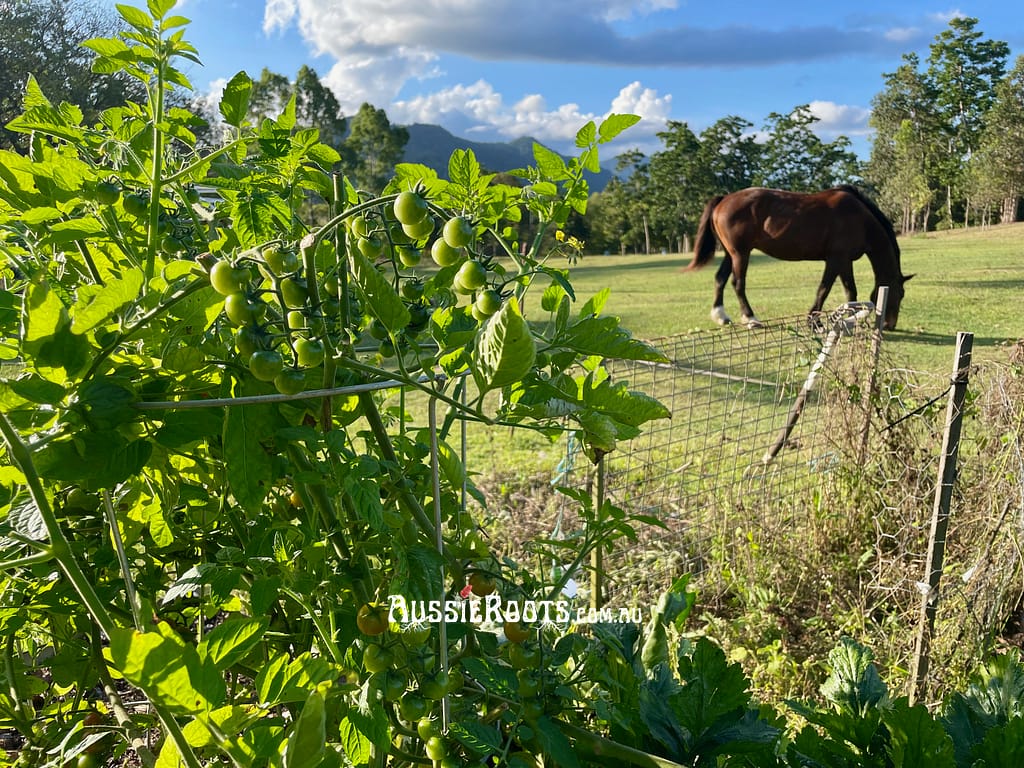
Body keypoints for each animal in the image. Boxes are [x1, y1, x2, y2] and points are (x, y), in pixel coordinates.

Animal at [688, 188, 913, 331]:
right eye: (901, 294)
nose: (889, 325)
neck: (860, 219)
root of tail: (724, 199)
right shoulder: (836, 259)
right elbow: (824, 289)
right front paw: (814, 322)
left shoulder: (844, 261)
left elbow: (851, 291)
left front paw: (850, 318)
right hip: (740, 254)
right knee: (738, 283)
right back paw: (751, 319)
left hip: (730, 254)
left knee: (720, 279)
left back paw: (721, 316)